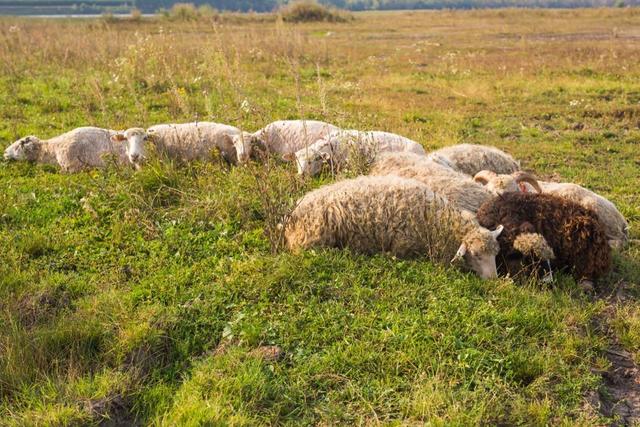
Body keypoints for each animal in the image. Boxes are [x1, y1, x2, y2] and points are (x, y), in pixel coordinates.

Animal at [284, 175, 504, 280]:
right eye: (476, 255)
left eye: (495, 255)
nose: (494, 279)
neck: (436, 220)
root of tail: (291, 216)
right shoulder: (402, 246)